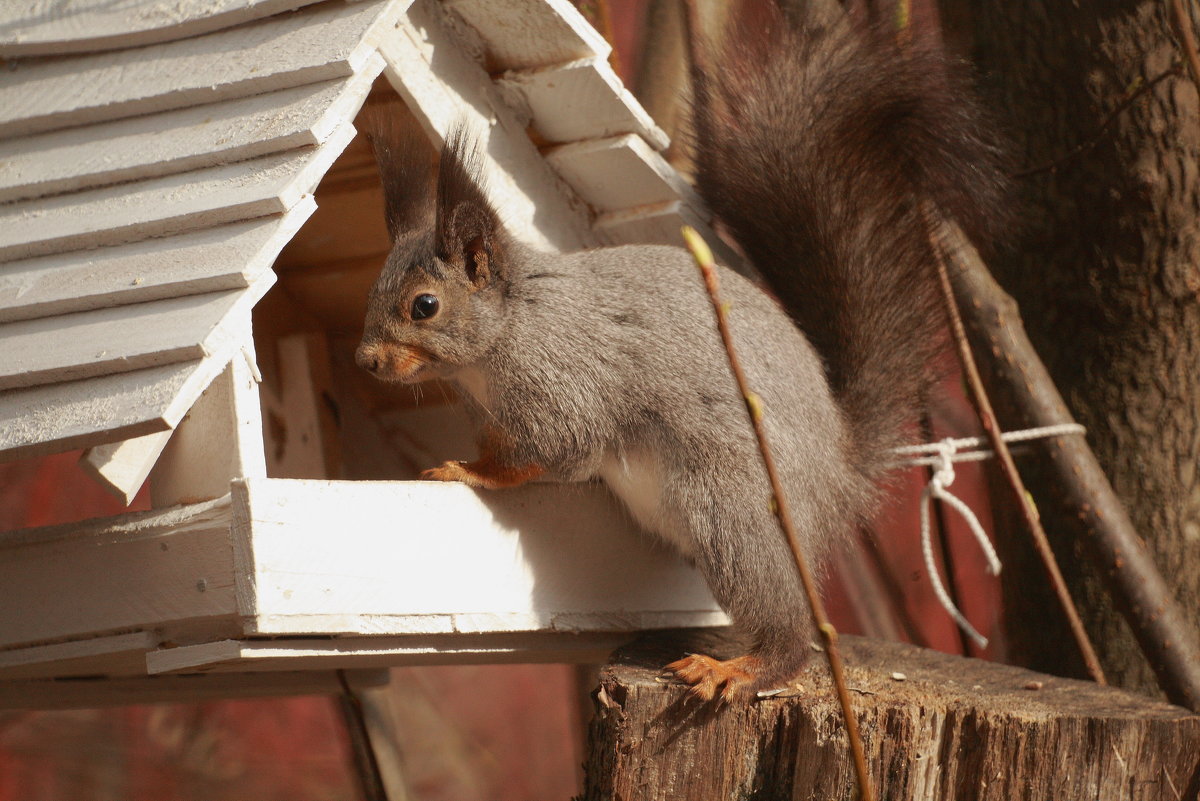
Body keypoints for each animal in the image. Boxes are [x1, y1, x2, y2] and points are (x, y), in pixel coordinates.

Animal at [352, 10, 1003, 700]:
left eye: (424, 306)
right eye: (373, 291)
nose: (365, 361)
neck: (505, 334)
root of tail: (839, 470)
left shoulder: (562, 385)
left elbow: (550, 453)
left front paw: (469, 471)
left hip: (731, 506)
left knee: (785, 623)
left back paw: (740, 667)